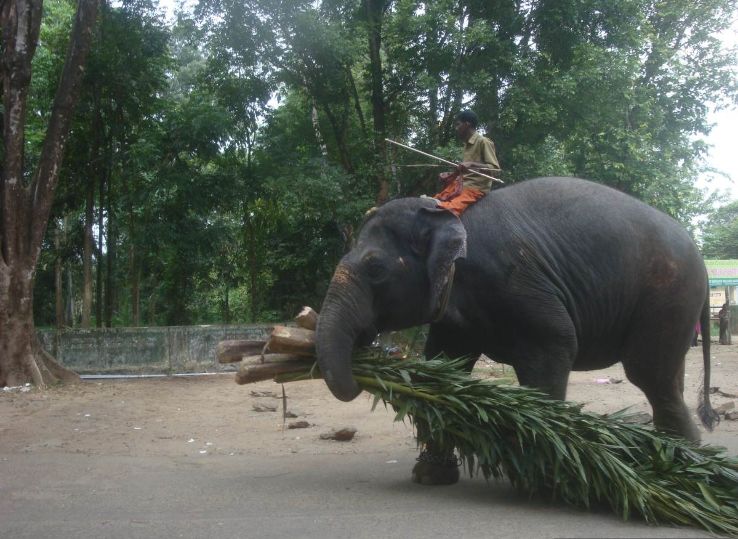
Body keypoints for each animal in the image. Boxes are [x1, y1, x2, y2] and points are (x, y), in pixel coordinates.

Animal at [315, 176, 718, 485]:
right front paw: (431, 477)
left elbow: (556, 345)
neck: (445, 214)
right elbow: (445, 363)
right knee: (667, 377)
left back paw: (684, 469)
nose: (366, 357)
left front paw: (546, 473)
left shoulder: (515, 281)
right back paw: (686, 466)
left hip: (669, 295)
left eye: (376, 269)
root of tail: (702, 258)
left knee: (649, 374)